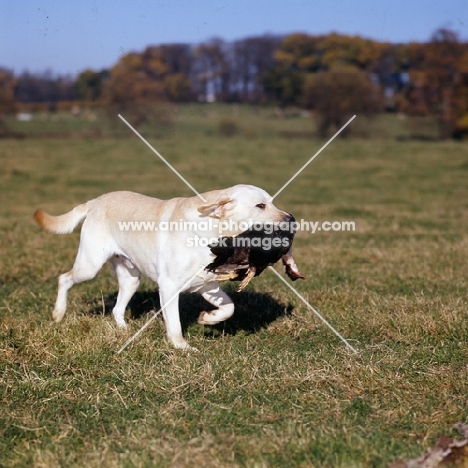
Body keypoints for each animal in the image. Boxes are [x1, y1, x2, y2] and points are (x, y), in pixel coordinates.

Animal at [34, 185, 294, 350]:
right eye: (260, 206)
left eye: (272, 202)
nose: (291, 219)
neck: (211, 232)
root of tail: (95, 201)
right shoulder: (169, 287)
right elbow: (175, 324)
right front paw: (183, 348)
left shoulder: (207, 285)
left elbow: (229, 307)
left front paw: (208, 318)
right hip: (89, 265)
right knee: (64, 278)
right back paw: (58, 314)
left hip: (131, 278)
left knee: (116, 309)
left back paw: (124, 331)